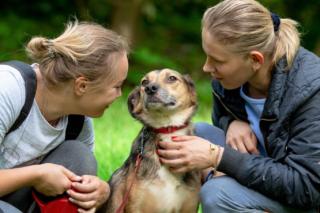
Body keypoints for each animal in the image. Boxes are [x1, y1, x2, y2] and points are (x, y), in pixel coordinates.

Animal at [99, 68, 201, 213]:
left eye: (172, 78)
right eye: (144, 82)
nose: (150, 88)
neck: (167, 128)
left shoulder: (189, 207)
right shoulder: (136, 207)